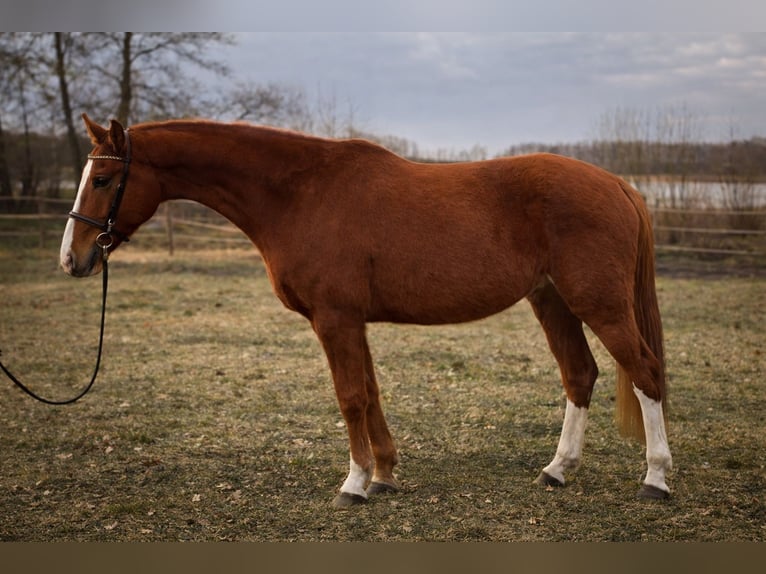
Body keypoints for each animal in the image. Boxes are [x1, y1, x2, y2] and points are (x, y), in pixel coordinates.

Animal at [60, 114, 672, 507]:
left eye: (105, 179)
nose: (73, 258)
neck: (300, 193)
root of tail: (617, 184)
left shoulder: (335, 320)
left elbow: (351, 397)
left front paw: (353, 485)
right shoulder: (353, 323)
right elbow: (372, 393)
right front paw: (384, 476)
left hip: (599, 304)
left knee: (644, 372)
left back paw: (656, 479)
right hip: (553, 301)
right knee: (580, 375)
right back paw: (557, 471)